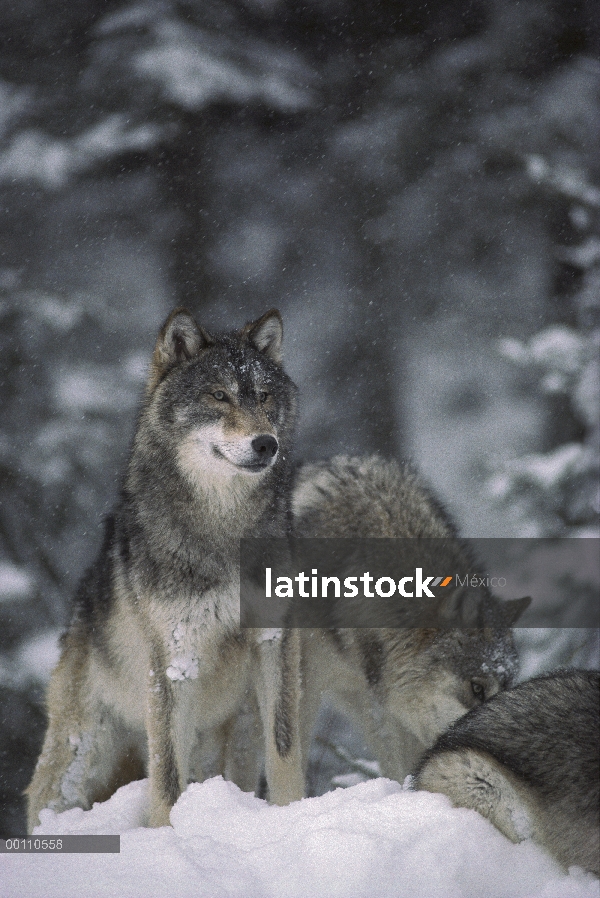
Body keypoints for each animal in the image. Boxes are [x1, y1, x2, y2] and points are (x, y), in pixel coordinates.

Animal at [25, 310, 302, 832]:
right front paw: (171, 834)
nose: (266, 444)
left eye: (263, 396)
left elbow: (285, 750)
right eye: (218, 396)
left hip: (237, 732)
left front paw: (292, 817)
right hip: (79, 759)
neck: (223, 531)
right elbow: (168, 775)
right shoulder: (175, 658)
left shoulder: (274, 640)